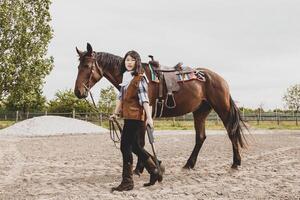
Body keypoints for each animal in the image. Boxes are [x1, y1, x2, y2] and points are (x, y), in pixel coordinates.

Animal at [74, 41, 247, 172]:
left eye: (87, 66)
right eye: (78, 66)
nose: (78, 92)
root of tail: (219, 78)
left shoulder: (144, 116)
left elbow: (141, 142)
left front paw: (140, 169)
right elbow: (137, 142)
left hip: (222, 109)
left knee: (231, 132)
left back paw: (236, 163)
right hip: (200, 112)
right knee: (200, 137)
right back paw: (189, 164)